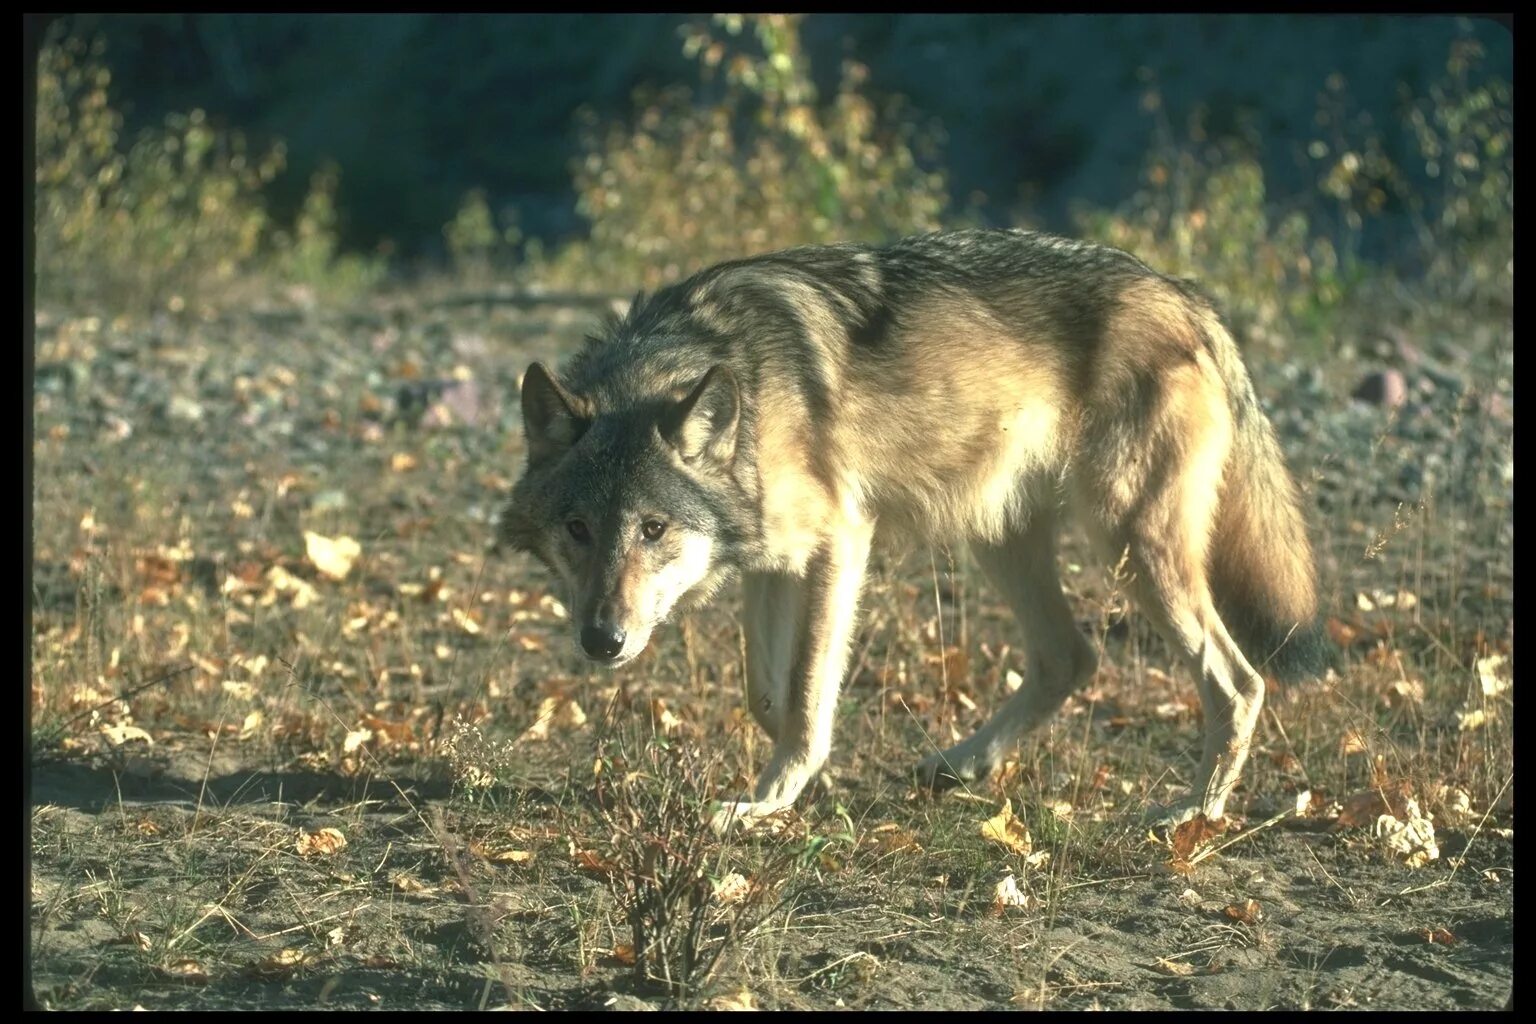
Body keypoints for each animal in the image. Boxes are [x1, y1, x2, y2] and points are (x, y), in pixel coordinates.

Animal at [497, 228, 1327, 829]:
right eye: (578, 528)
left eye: (653, 528)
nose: (601, 640)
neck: (743, 386)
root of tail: (1188, 297)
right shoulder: (772, 563)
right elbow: (767, 695)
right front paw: (784, 781)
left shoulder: (839, 542)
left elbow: (805, 692)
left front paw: (767, 802)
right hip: (1002, 536)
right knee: (1070, 657)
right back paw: (963, 765)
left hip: (1128, 543)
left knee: (1239, 682)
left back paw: (1193, 813)